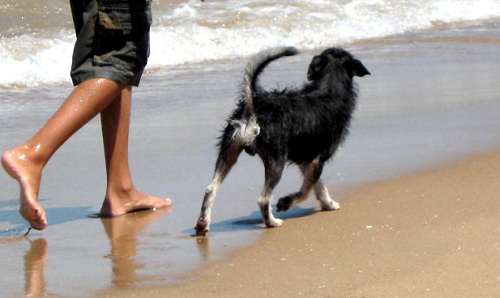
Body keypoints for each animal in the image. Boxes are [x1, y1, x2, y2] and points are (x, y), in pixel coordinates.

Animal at [193, 46, 370, 236]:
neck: (328, 88)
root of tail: (253, 106)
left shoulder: (306, 159)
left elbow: (318, 185)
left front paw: (328, 203)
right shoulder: (317, 160)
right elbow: (306, 190)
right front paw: (287, 202)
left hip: (229, 152)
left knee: (210, 189)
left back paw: (202, 223)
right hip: (276, 162)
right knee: (263, 199)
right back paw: (272, 222)